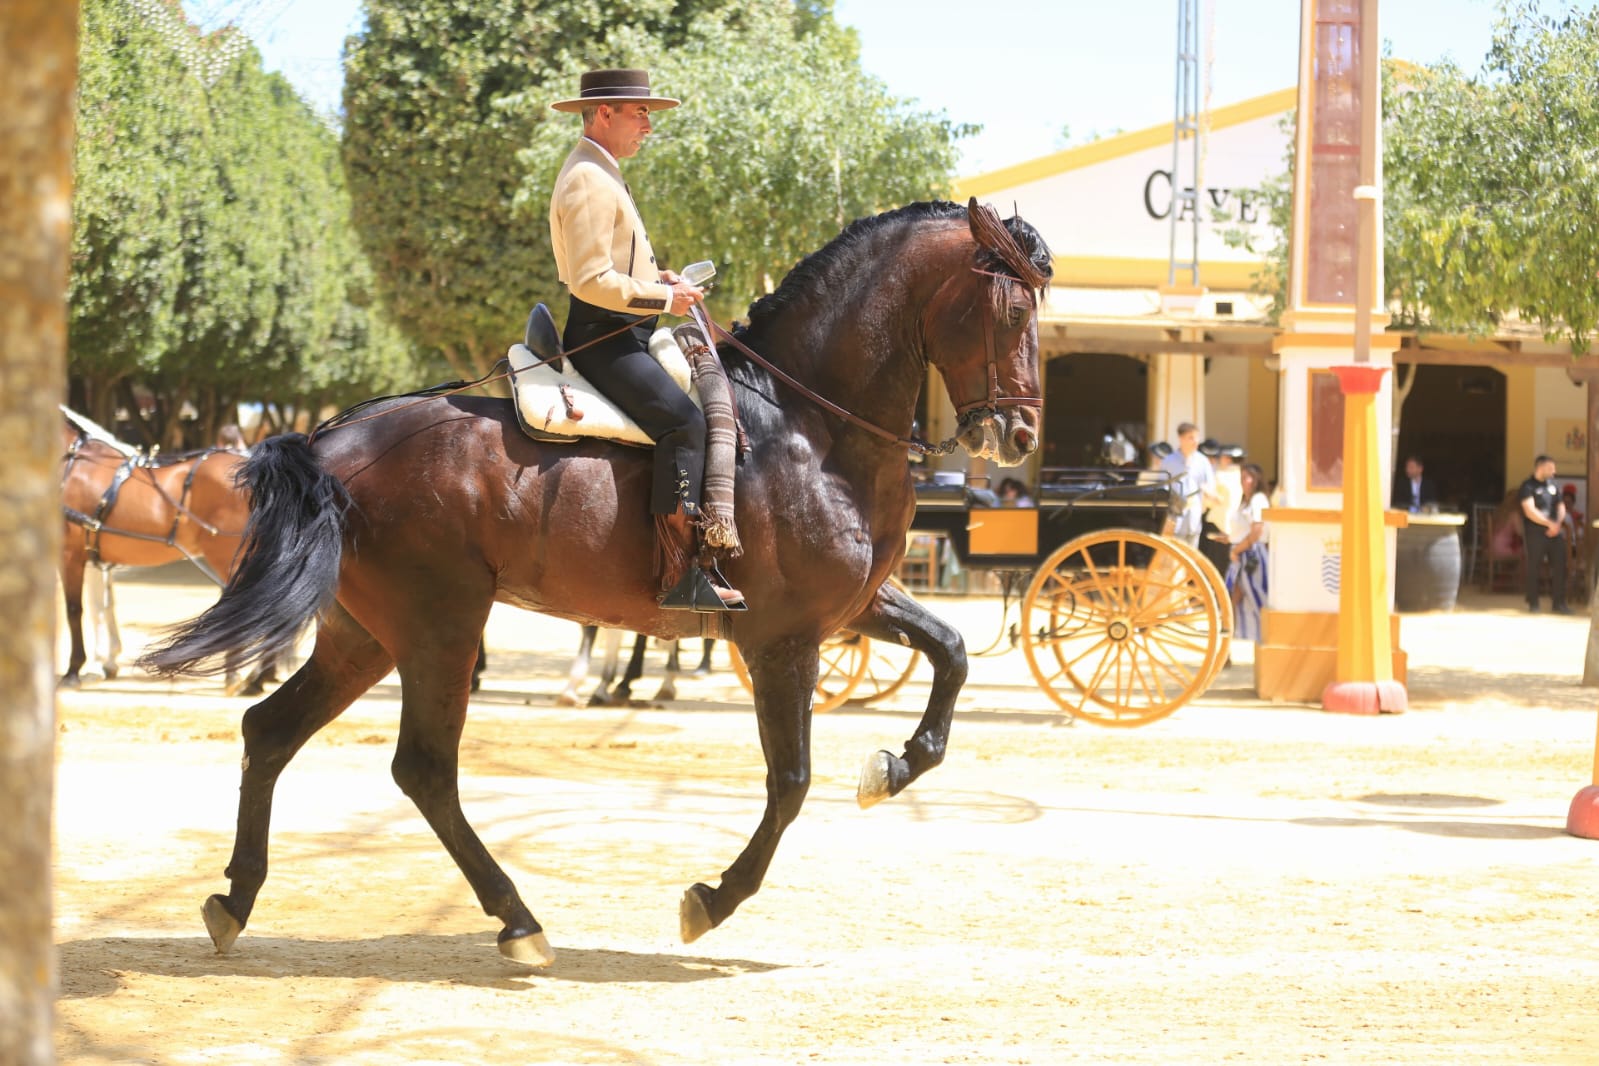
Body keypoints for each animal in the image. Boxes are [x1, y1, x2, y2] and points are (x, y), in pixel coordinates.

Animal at [143, 198, 1055, 965]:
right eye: (1013, 310)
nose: (1018, 434)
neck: (807, 426)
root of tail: (331, 440)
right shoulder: (782, 639)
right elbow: (791, 782)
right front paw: (712, 899)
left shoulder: (852, 608)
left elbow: (951, 653)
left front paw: (893, 768)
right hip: (438, 627)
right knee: (424, 768)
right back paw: (517, 920)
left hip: (363, 635)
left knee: (271, 732)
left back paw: (235, 901)